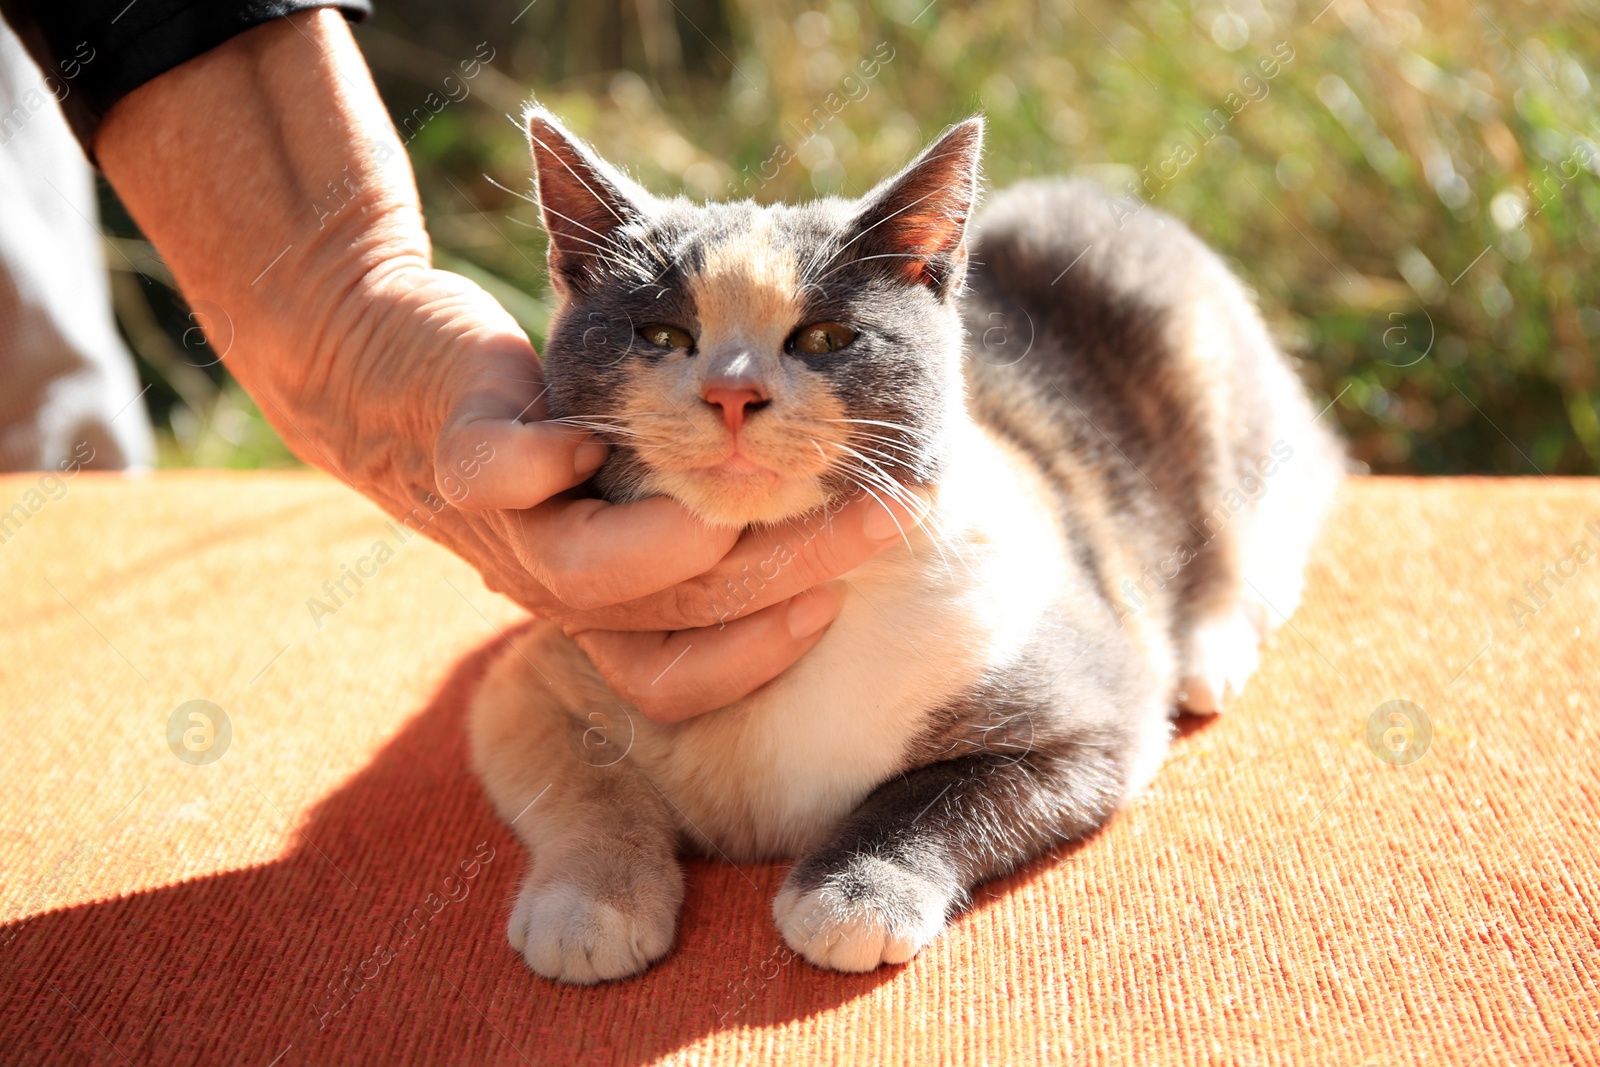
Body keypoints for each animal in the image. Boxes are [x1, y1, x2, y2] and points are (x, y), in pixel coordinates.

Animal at [467, 106, 1344, 985]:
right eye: (659, 333)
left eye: (824, 339)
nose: (732, 392)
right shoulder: (533, 677)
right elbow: (585, 786)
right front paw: (592, 901)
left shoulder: (1093, 710)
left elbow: (934, 794)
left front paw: (857, 895)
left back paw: (1210, 654)